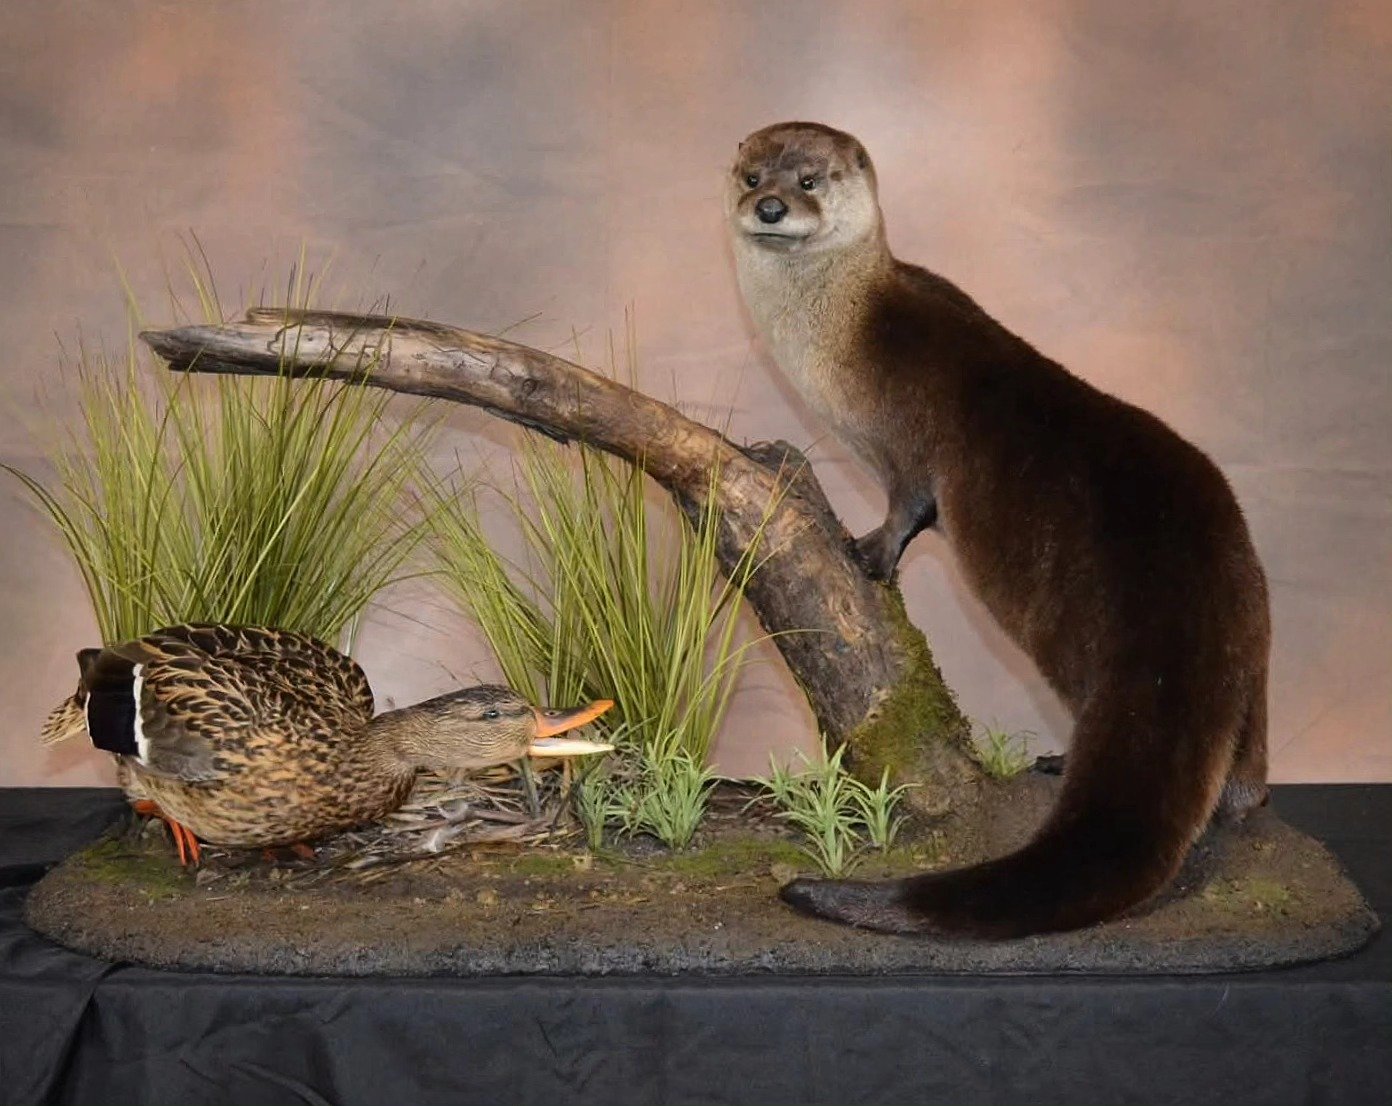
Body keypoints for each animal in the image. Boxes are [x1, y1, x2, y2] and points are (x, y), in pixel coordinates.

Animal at [728, 121, 1271, 937]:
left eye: (810, 180)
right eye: (752, 173)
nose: (768, 206)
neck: (844, 332)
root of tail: (1192, 595)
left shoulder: (912, 434)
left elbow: (912, 503)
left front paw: (869, 552)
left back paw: (1060, 763)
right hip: (1256, 636)